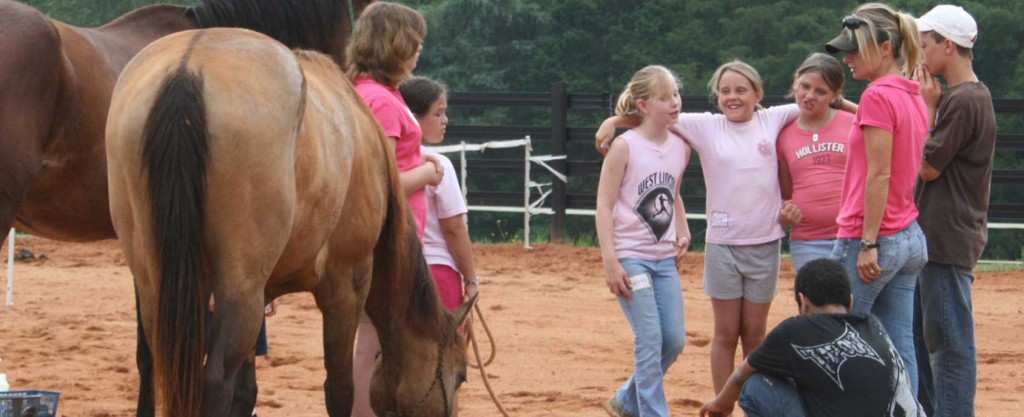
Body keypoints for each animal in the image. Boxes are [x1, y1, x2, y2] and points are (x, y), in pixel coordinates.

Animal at [103, 28, 471, 417]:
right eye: (461, 375)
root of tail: (188, 68)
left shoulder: (263, 294)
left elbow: (246, 391)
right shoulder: (347, 286)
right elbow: (340, 389)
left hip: (157, 284)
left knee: (157, 365)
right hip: (239, 289)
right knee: (214, 380)